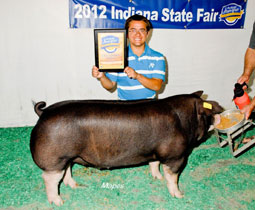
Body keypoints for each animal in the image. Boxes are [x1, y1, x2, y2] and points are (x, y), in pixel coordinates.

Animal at [29, 90, 223, 205]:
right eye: (210, 113)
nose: (221, 111)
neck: (185, 120)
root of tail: (43, 112)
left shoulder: (153, 151)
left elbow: (154, 164)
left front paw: (157, 177)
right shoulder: (176, 156)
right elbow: (172, 177)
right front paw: (179, 195)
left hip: (68, 156)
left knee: (67, 170)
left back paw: (74, 186)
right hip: (54, 159)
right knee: (49, 178)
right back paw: (58, 202)